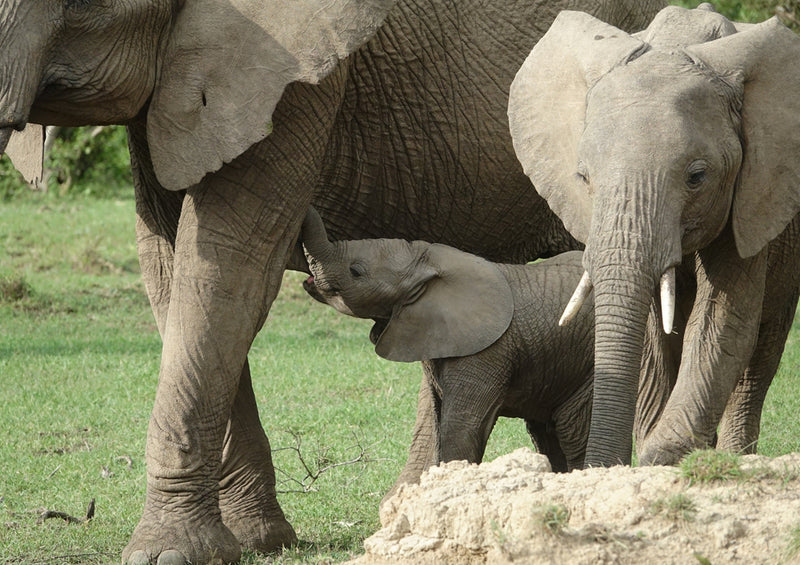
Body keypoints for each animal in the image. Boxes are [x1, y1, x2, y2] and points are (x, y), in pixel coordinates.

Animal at [300, 207, 592, 472]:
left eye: (356, 271)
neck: (427, 263)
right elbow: (439, 423)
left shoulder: (488, 353)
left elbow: (461, 427)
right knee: (545, 433)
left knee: (571, 431)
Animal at [510, 4, 800, 470]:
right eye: (582, 177)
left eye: (697, 177)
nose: (604, 464)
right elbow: (649, 336)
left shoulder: (752, 191)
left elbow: (722, 321)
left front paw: (661, 456)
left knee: (762, 349)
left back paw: (734, 457)